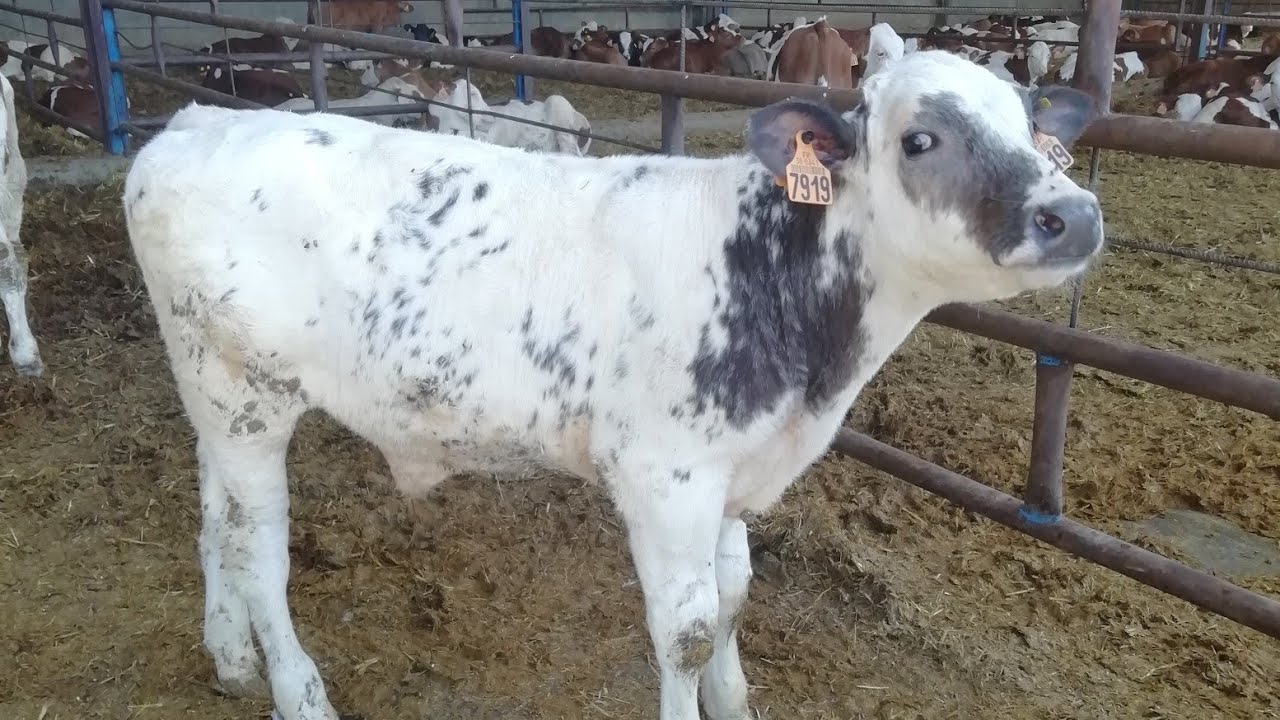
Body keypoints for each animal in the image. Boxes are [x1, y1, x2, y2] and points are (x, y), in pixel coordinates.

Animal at [121, 49, 1103, 720]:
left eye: (1036, 129)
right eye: (920, 139)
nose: (1076, 213)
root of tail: (200, 121)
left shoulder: (735, 471)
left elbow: (737, 594)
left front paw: (735, 702)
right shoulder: (665, 473)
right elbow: (688, 629)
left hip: (215, 396)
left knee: (217, 520)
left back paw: (231, 658)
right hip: (246, 394)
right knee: (260, 549)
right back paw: (299, 692)